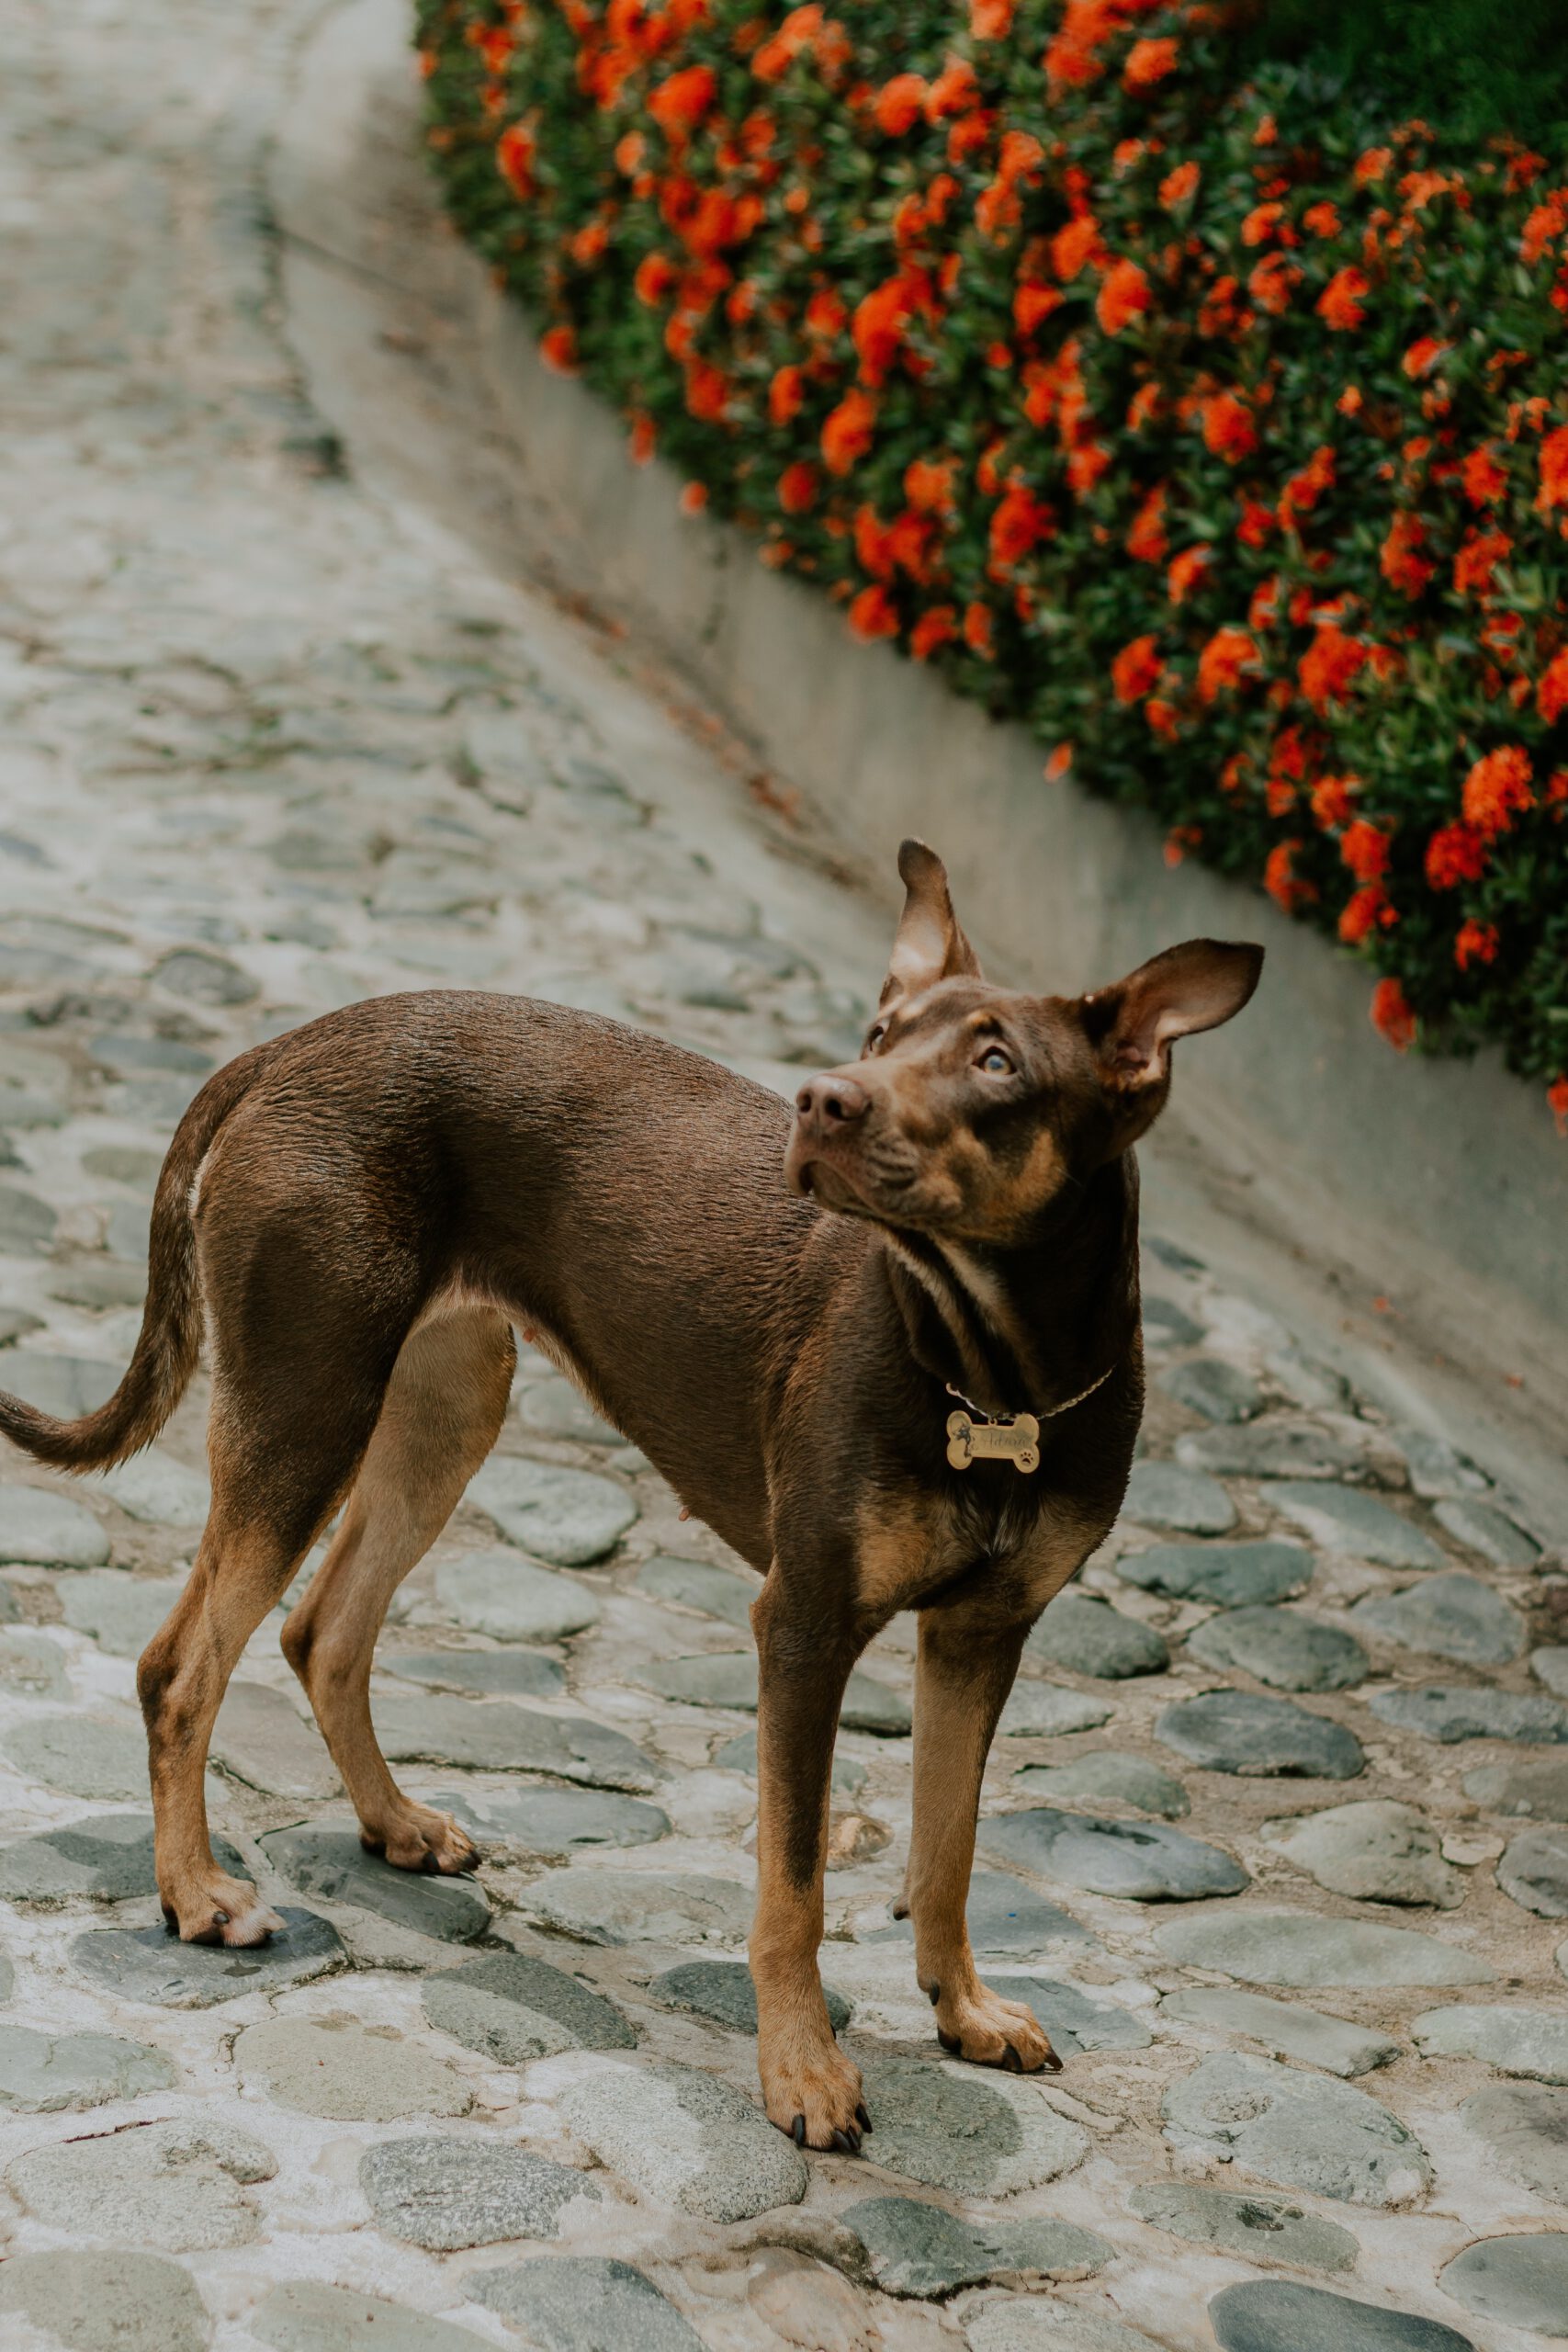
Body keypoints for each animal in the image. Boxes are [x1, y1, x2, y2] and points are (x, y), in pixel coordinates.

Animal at [0, 846, 1259, 2154]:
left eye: (996, 1062)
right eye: (880, 1032)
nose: (823, 1100)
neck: (996, 1374)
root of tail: (290, 1042)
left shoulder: (983, 1634)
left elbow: (950, 1847)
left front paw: (963, 2009)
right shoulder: (804, 1627)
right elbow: (796, 1884)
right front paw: (803, 2070)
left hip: (445, 1408)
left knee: (322, 1630)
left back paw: (391, 1823)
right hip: (306, 1415)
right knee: (180, 1667)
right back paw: (196, 1895)